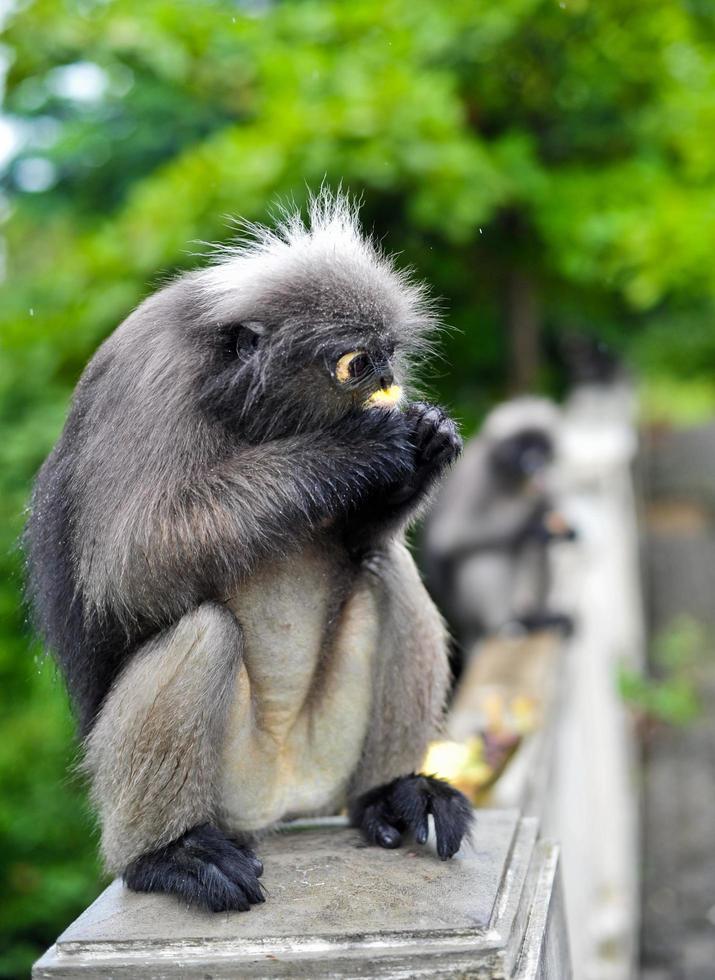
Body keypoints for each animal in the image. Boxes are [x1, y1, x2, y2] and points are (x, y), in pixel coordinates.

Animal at [26, 195, 476, 916]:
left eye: (388, 357)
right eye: (357, 364)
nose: (390, 381)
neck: (245, 416)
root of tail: (282, 793)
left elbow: (361, 545)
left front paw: (427, 442)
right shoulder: (148, 383)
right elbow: (130, 566)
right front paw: (350, 449)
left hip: (326, 752)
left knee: (386, 570)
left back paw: (392, 794)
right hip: (227, 785)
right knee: (204, 630)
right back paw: (168, 853)